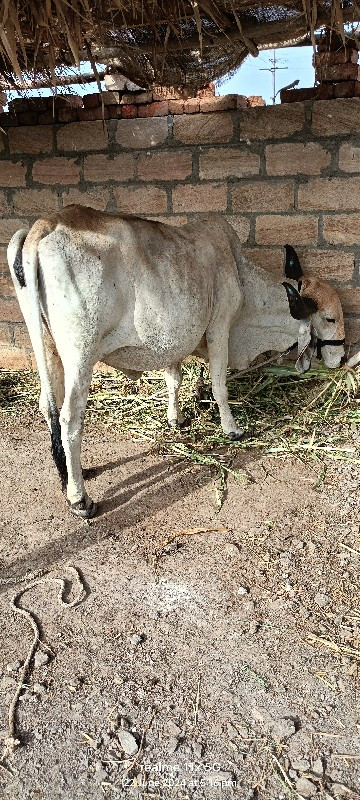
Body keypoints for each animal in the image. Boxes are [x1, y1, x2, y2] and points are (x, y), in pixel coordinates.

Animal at [7, 206, 346, 520]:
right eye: (330, 318)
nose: (341, 357)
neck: (240, 273)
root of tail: (43, 226)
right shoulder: (220, 326)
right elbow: (219, 386)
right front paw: (232, 429)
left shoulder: (172, 340)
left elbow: (174, 379)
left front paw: (176, 419)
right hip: (81, 354)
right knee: (69, 418)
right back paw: (80, 498)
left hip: (47, 346)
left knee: (47, 405)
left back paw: (70, 475)